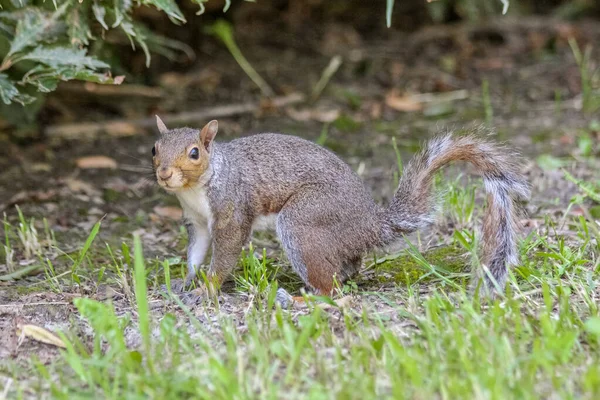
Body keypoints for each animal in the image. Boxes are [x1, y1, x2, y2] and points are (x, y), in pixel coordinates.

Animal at [154, 115, 528, 304]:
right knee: (347, 269)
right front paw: (184, 282)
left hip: (304, 221)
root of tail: (370, 225)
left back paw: (302, 299)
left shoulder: (231, 209)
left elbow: (226, 250)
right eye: (155, 148)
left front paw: (206, 289)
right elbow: (196, 252)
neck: (195, 189)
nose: (164, 174)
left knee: (332, 290)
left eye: (194, 153)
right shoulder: (197, 221)